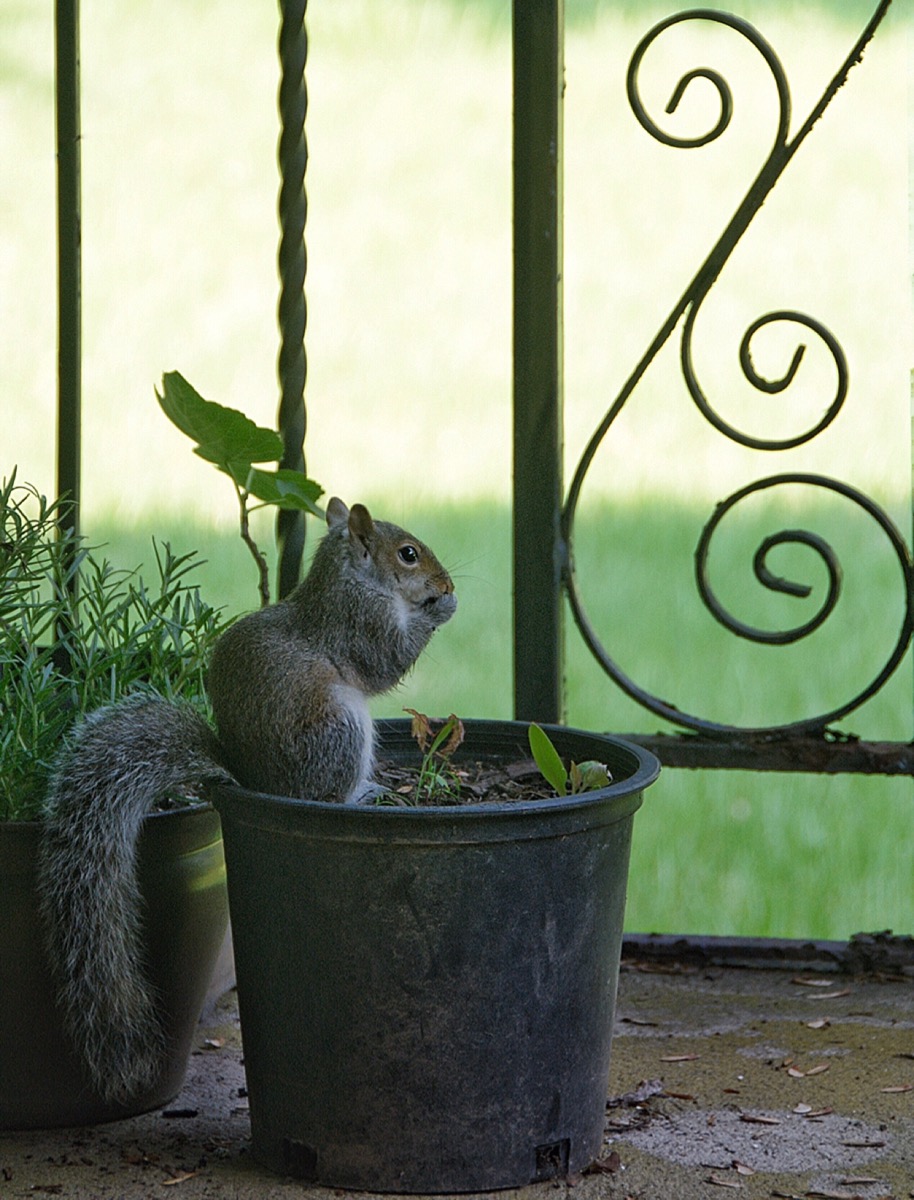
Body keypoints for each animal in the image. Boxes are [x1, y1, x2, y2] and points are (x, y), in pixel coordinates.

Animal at [35, 496, 455, 1104]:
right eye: (407, 554)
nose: (446, 583)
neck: (346, 580)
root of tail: (250, 776)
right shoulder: (359, 623)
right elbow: (386, 659)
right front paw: (438, 610)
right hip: (340, 727)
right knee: (325, 793)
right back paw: (365, 795)